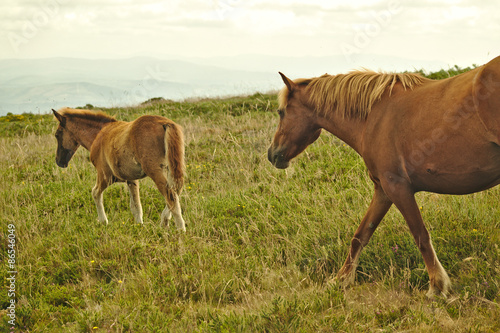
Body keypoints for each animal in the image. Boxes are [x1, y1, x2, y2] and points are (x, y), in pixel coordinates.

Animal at [53, 107, 188, 230]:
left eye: (57, 134)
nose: (59, 162)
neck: (99, 134)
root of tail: (165, 123)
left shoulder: (104, 175)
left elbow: (95, 193)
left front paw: (104, 222)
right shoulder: (131, 179)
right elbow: (135, 206)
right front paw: (139, 226)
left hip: (155, 171)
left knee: (170, 196)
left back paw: (180, 229)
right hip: (172, 168)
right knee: (176, 190)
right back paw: (164, 221)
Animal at [270, 56, 500, 296]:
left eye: (281, 112)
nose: (272, 154)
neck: (373, 116)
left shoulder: (397, 188)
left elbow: (420, 235)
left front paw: (437, 287)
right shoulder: (383, 191)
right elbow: (360, 236)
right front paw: (341, 279)